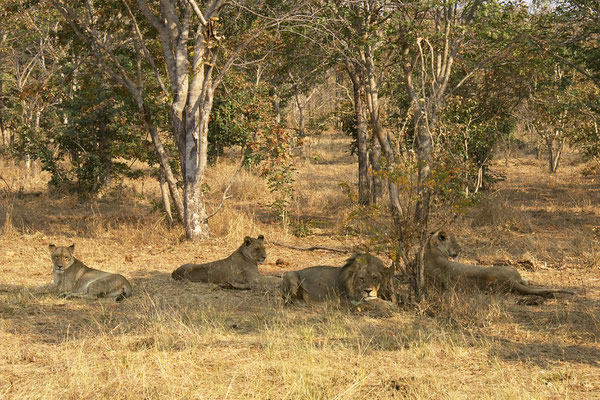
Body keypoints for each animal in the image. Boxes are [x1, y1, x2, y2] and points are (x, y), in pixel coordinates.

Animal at [424, 230, 576, 298]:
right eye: (455, 242)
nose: (460, 250)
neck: (431, 249)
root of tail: (509, 281)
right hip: (511, 269)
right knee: (523, 281)